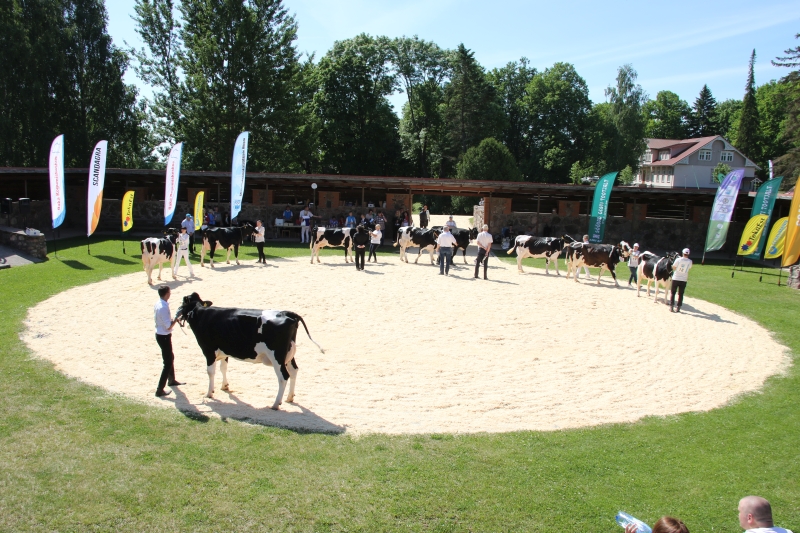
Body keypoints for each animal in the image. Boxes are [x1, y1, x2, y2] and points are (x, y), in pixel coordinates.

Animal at [175, 293, 324, 410]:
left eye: (183, 301)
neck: (201, 313)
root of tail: (287, 313)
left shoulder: (208, 350)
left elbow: (211, 372)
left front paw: (209, 393)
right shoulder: (224, 350)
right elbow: (224, 367)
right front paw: (225, 386)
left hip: (277, 356)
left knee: (283, 377)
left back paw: (276, 404)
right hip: (289, 355)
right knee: (294, 371)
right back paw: (289, 398)